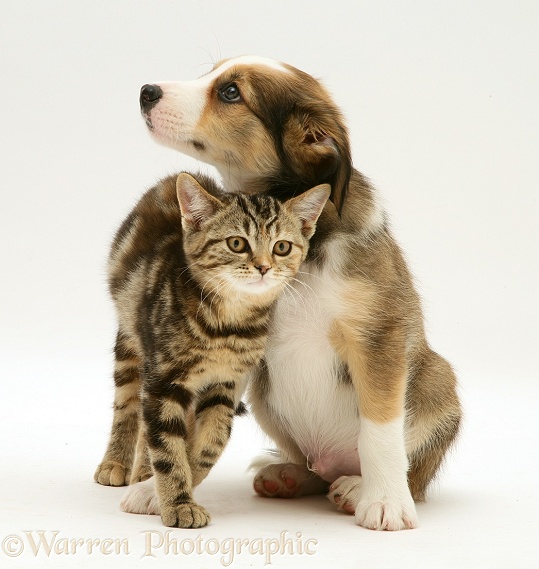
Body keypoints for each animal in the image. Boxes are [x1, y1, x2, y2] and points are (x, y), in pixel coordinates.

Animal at [96, 171, 330, 524]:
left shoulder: (226, 383)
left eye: (282, 247)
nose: (264, 267)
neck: (227, 325)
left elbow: (210, 443)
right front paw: (178, 502)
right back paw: (117, 463)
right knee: (129, 403)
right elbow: (166, 445)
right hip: (131, 337)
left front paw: (173, 484)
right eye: (237, 243)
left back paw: (143, 472)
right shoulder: (163, 379)